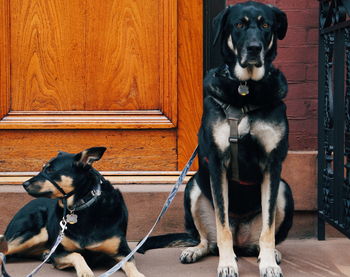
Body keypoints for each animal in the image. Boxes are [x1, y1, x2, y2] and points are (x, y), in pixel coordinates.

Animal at [0, 147, 144, 276]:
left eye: (50, 170)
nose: (24, 184)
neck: (83, 206)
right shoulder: (57, 253)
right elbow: (77, 255)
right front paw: (85, 272)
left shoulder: (123, 252)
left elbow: (131, 266)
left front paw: (137, 274)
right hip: (33, 234)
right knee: (3, 251)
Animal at [138, 1, 294, 276]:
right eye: (239, 24)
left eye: (266, 25)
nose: (254, 48)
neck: (246, 91)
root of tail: (242, 239)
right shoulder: (218, 163)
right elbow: (222, 228)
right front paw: (227, 264)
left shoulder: (272, 164)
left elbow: (268, 228)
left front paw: (268, 264)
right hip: (192, 188)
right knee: (208, 240)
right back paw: (196, 250)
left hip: (285, 191)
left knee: (263, 236)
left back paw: (271, 254)